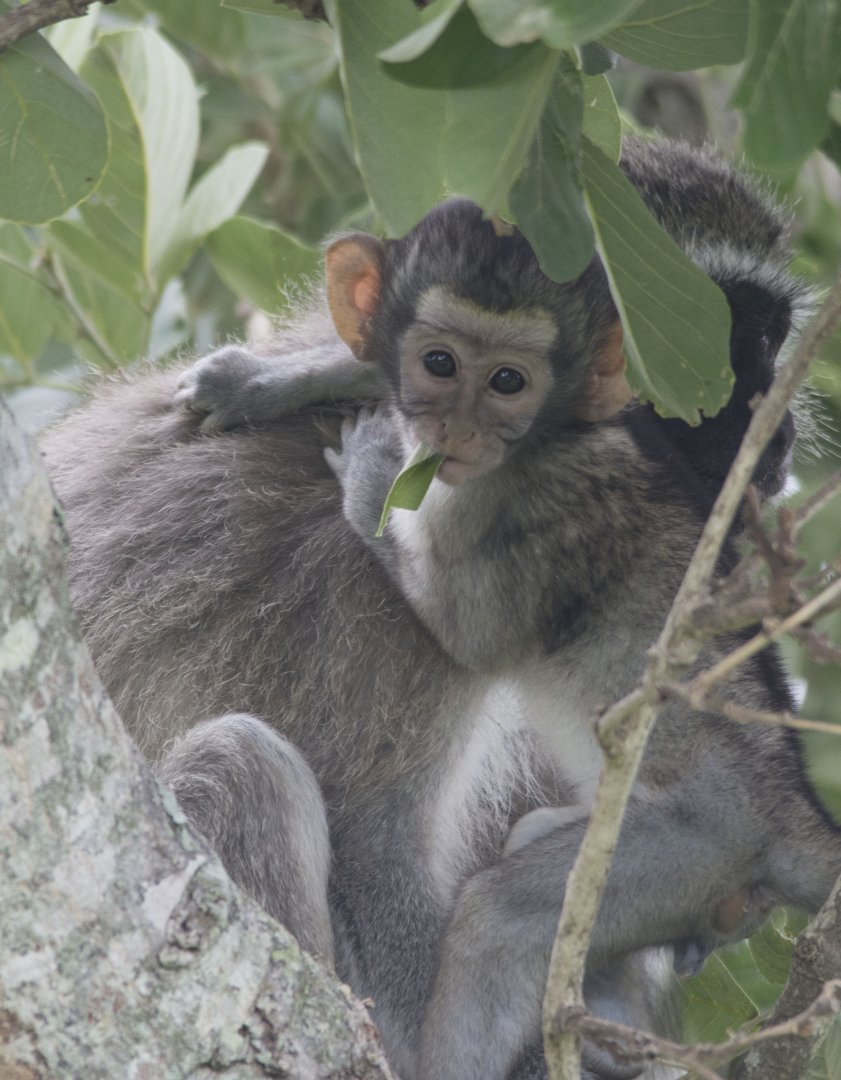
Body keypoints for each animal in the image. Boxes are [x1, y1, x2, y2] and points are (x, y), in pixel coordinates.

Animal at [41, 137, 841, 1080]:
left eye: (771, 337)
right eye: (722, 339)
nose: (778, 433)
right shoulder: (384, 603)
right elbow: (373, 830)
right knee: (246, 768)